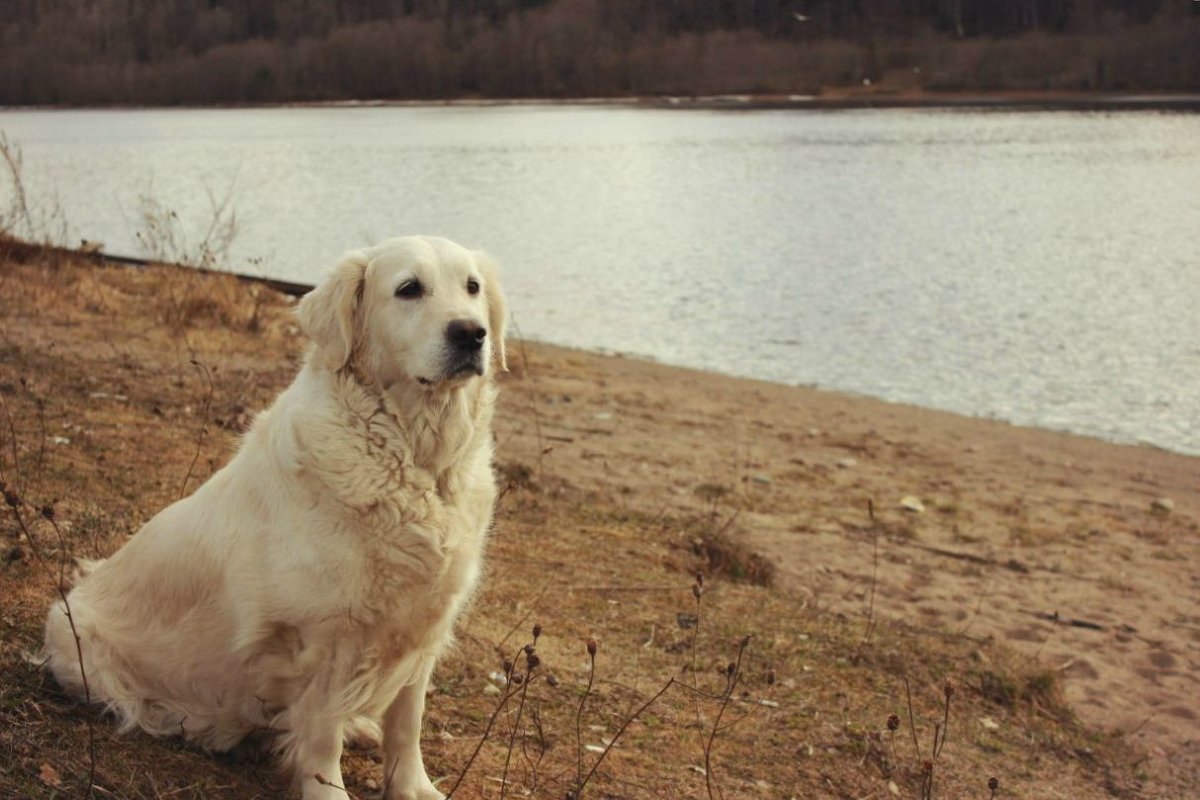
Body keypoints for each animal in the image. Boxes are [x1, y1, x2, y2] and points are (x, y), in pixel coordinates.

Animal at [43, 236, 506, 800]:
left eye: (472, 287)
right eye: (409, 289)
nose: (471, 333)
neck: (417, 458)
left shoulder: (423, 621)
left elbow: (407, 721)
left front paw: (413, 786)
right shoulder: (328, 637)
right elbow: (321, 734)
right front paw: (327, 790)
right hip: (77, 640)